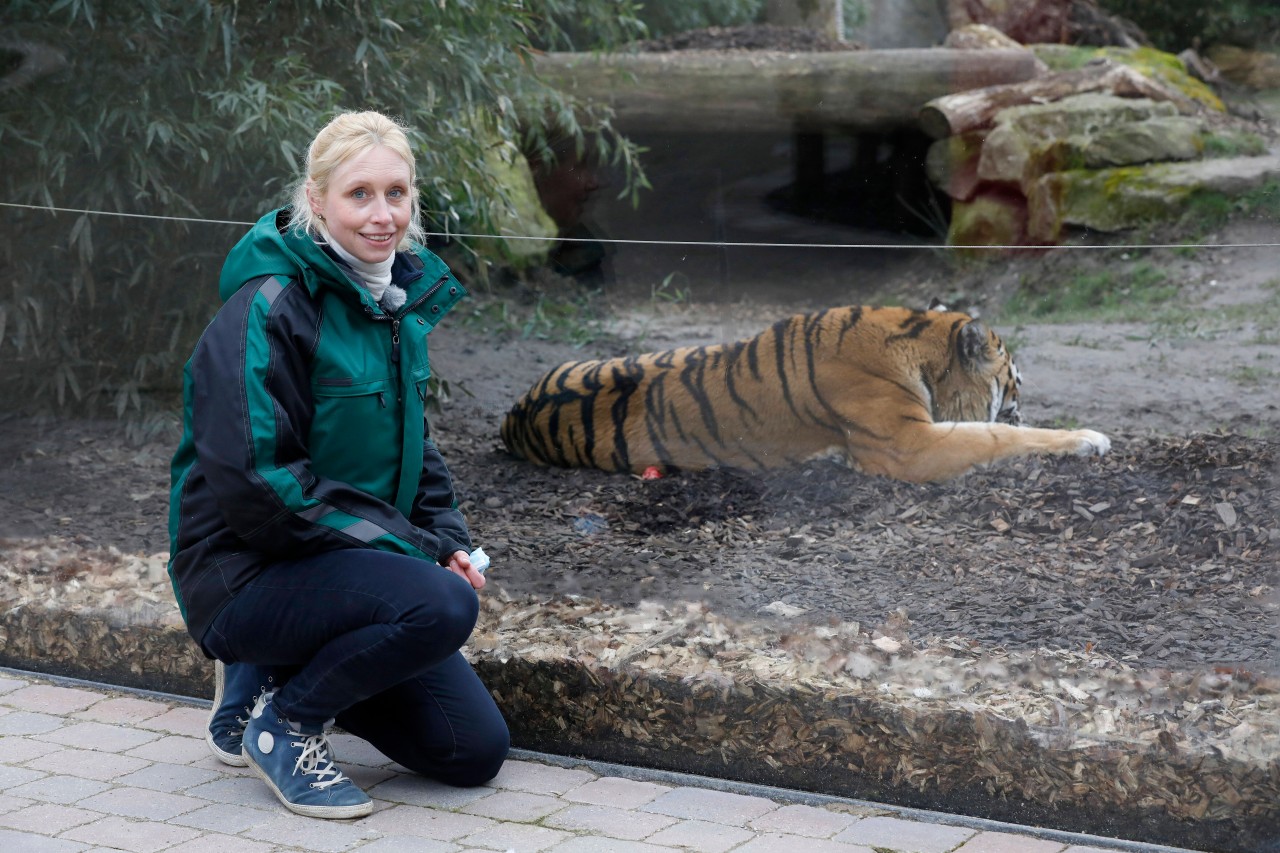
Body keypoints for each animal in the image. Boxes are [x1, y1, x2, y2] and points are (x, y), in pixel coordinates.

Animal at [499, 302, 1111, 481]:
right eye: (1015, 385)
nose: (1021, 407)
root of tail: (512, 416)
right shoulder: (908, 445)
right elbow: (993, 437)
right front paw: (1088, 438)